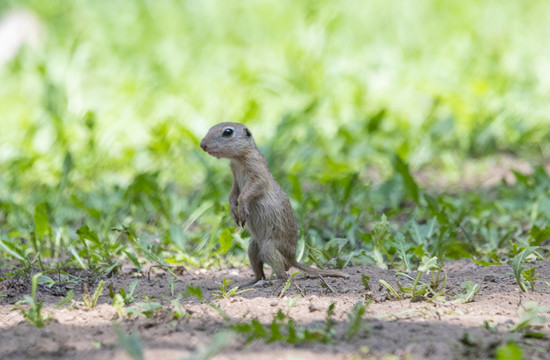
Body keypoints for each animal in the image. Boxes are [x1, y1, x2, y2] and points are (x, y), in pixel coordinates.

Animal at [202, 122, 350, 286]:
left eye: (228, 132)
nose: (202, 145)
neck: (238, 159)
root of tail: (293, 259)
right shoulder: (235, 177)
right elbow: (233, 193)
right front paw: (233, 209)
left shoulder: (257, 173)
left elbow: (249, 191)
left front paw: (242, 208)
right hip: (253, 248)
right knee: (260, 271)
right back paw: (249, 283)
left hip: (268, 248)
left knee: (283, 274)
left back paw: (270, 282)